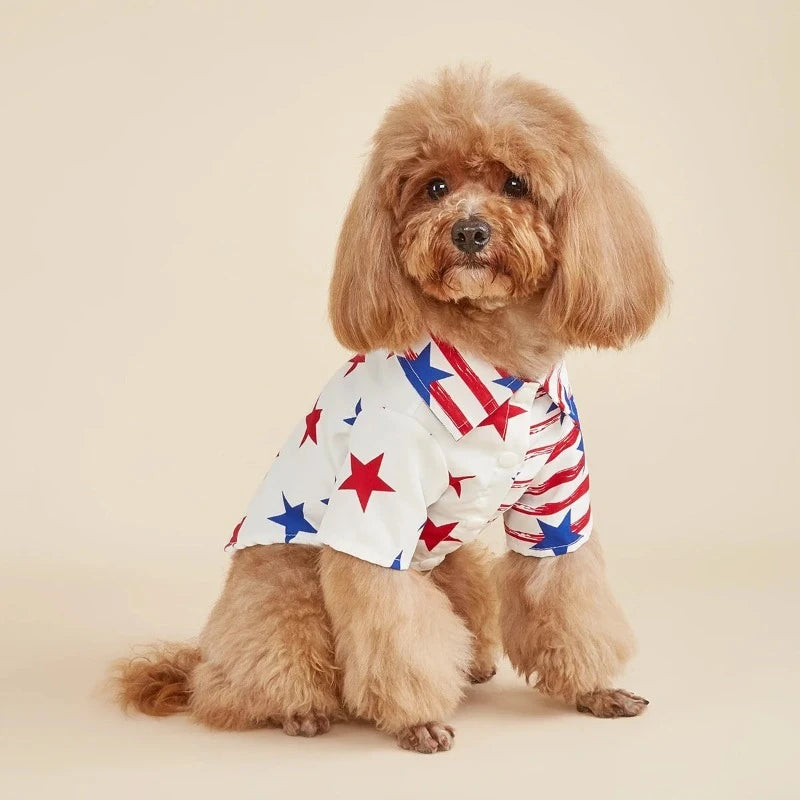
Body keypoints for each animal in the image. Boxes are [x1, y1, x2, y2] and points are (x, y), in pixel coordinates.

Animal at [111, 65, 664, 752]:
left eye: (516, 183)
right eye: (434, 187)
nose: (469, 232)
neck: (497, 363)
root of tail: (199, 664)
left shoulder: (557, 509)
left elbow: (568, 597)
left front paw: (593, 691)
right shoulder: (376, 503)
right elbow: (394, 628)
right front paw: (416, 718)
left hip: (455, 565)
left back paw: (475, 666)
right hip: (283, 580)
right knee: (250, 674)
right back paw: (299, 709)